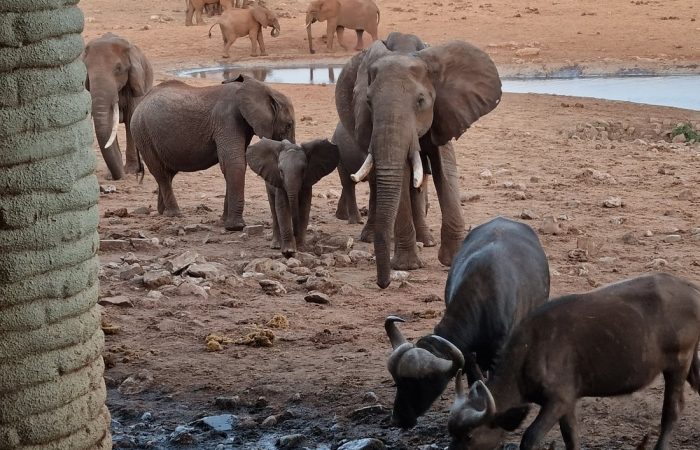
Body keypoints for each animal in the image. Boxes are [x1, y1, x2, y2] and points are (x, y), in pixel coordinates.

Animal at [81, 33, 153, 179]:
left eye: (118, 69)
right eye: (86, 69)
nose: (118, 176)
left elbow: (131, 118)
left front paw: (131, 171)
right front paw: (111, 175)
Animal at [131, 75, 296, 230]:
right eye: (288, 125)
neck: (262, 89)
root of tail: (140, 103)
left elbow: (235, 164)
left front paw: (223, 222)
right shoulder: (227, 119)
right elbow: (233, 163)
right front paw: (235, 227)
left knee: (168, 173)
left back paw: (162, 212)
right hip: (142, 133)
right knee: (161, 173)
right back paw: (174, 214)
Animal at [334, 33, 504, 288]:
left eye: (421, 101)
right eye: (368, 102)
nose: (383, 283)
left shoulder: (446, 111)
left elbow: (445, 167)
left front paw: (453, 259)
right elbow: (403, 176)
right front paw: (406, 267)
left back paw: (427, 240)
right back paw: (374, 237)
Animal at [386, 218, 548, 428]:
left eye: (420, 383)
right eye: (398, 382)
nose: (398, 419)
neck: (484, 295)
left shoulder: (499, 350)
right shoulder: (468, 354)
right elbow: (475, 379)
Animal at [448, 272, 700, 448]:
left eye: (469, 436)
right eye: (452, 434)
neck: (531, 351)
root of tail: (692, 290)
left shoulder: (557, 400)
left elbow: (530, 437)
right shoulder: (567, 402)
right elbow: (571, 436)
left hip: (679, 363)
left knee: (672, 410)